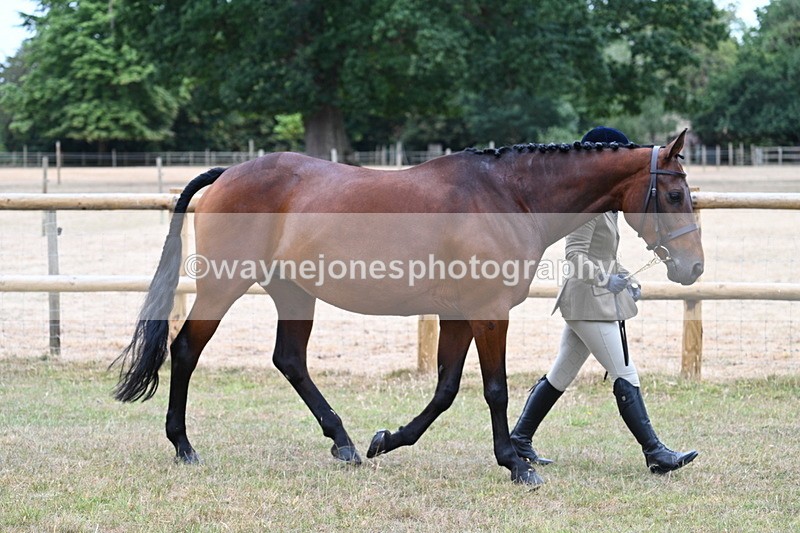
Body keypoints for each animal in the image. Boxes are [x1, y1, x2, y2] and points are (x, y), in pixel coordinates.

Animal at [113, 130, 703, 487]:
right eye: (675, 195)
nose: (692, 268)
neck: (509, 196)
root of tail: (228, 172)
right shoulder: (488, 312)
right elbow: (494, 389)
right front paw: (516, 464)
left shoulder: (460, 315)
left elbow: (444, 390)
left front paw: (387, 440)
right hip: (222, 286)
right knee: (185, 350)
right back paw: (183, 446)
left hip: (293, 293)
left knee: (290, 361)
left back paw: (345, 443)